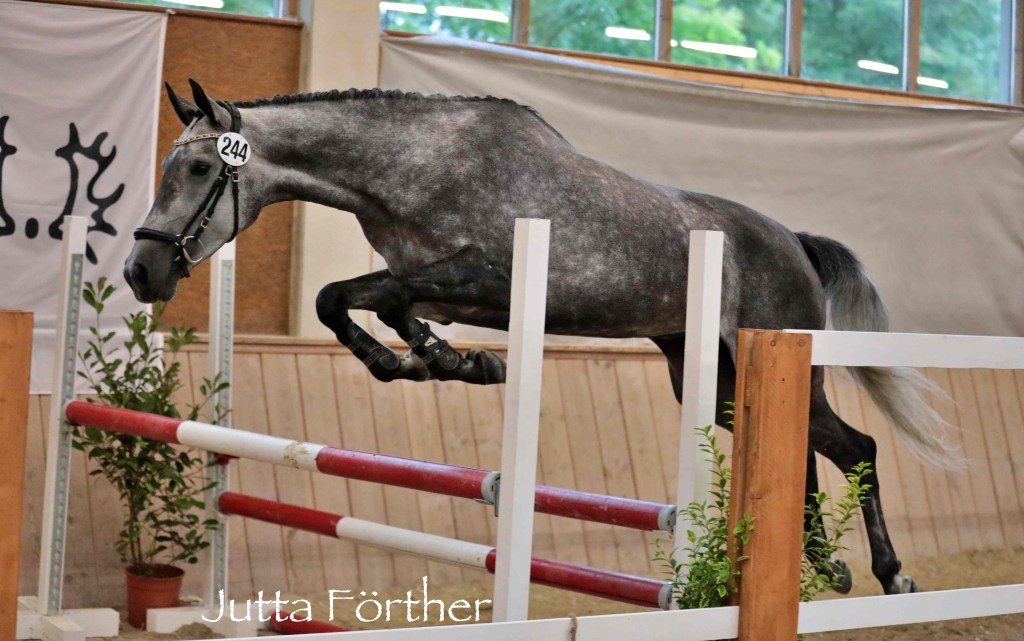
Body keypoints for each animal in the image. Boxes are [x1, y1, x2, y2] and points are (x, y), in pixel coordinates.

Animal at [125, 79, 958, 596]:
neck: (416, 166)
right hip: (713, 379)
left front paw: (451, 359)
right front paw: (441, 359)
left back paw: (887, 573)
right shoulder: (429, 279)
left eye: (195, 168)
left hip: (771, 366)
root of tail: (794, 242)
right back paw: (824, 566)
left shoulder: (485, 277)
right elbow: (351, 301)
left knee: (855, 447)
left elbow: (374, 298)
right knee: (809, 451)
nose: (140, 271)